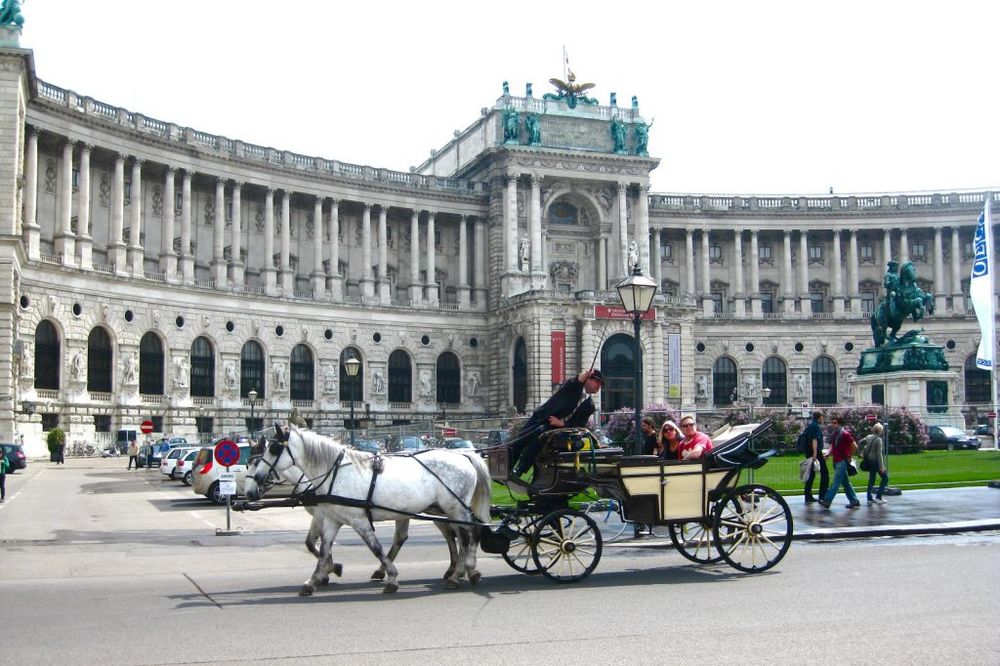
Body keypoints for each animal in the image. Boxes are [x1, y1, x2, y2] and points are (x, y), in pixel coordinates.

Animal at [246, 428, 488, 592]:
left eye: (274, 449)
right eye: (249, 462)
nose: (251, 489)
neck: (334, 473)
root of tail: (465, 455)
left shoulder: (357, 520)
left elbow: (375, 548)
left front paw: (391, 577)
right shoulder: (332, 519)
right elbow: (321, 549)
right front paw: (316, 579)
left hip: (455, 509)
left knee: (468, 536)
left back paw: (462, 572)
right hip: (442, 510)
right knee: (455, 536)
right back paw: (461, 570)